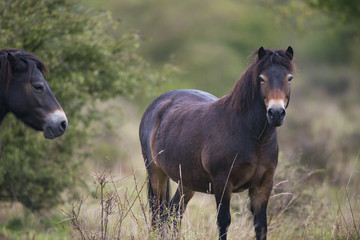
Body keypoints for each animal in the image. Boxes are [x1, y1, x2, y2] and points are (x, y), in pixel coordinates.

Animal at [139, 46, 294, 239]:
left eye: (289, 78)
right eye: (261, 78)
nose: (276, 113)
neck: (252, 137)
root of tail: (157, 105)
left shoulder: (263, 185)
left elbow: (261, 225)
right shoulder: (223, 183)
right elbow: (223, 222)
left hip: (186, 182)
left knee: (174, 212)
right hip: (156, 172)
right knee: (158, 214)